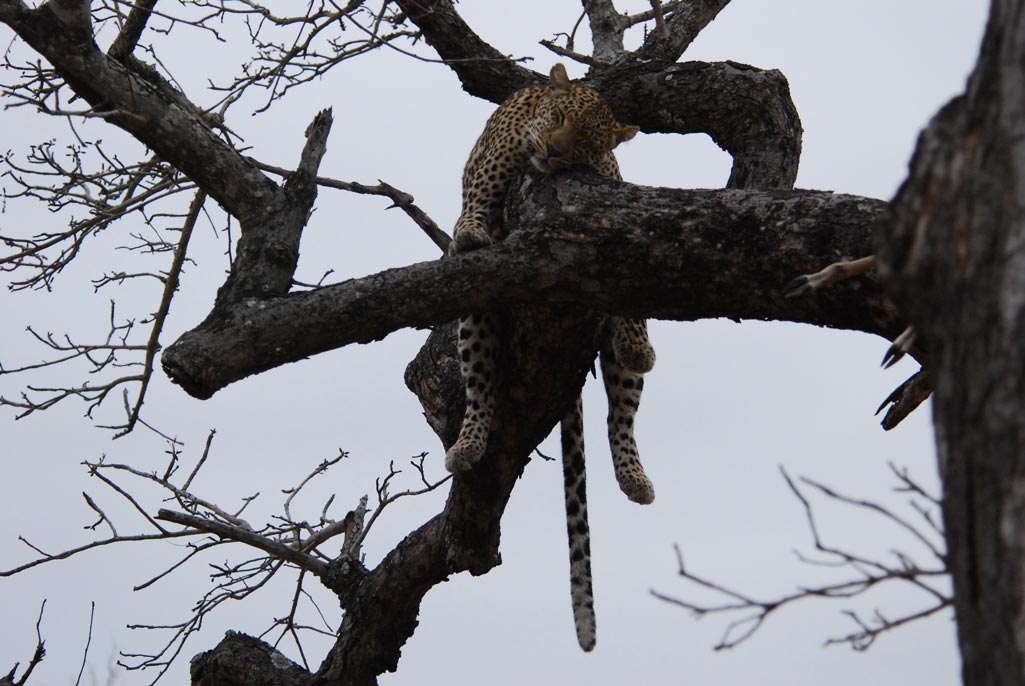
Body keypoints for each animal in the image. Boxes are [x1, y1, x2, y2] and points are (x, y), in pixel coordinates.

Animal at [442, 65, 656, 652]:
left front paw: (636, 337)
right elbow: (480, 195)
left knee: (620, 413)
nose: (554, 151)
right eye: (557, 119)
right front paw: (471, 231)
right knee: (482, 384)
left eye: (584, 140)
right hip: (476, 322)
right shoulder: (492, 163)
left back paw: (635, 474)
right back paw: (467, 447)